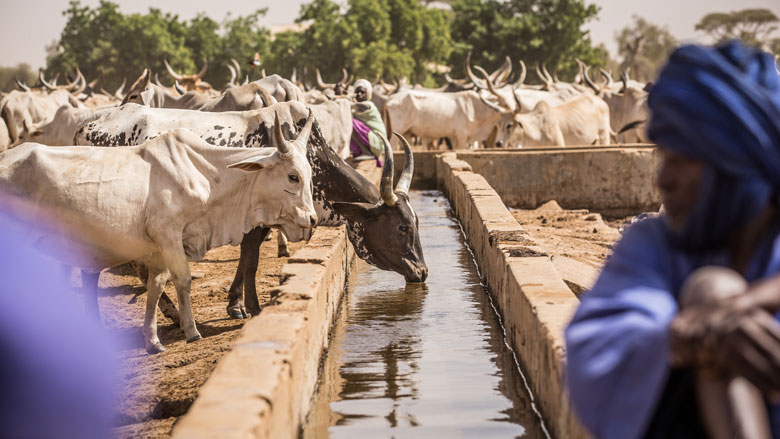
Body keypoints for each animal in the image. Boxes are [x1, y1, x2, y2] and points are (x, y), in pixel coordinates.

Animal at [0, 113, 316, 354]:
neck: (206, 176)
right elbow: (182, 280)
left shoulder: (161, 245)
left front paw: (152, 341)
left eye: (311, 175)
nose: (312, 219)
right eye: (292, 177)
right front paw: (191, 330)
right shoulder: (169, 234)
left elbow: (156, 284)